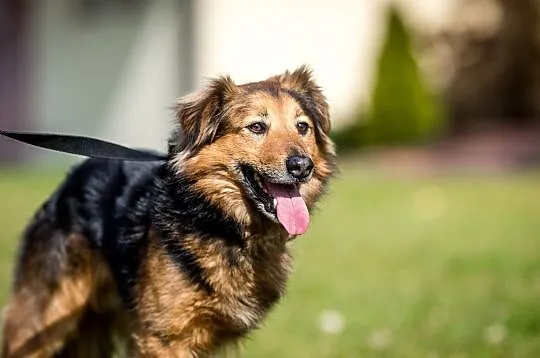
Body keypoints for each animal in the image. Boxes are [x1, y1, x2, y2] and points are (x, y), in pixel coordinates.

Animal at [2, 65, 336, 356]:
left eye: (302, 127)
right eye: (256, 127)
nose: (302, 166)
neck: (221, 222)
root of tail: (69, 182)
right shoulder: (165, 338)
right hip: (42, 322)